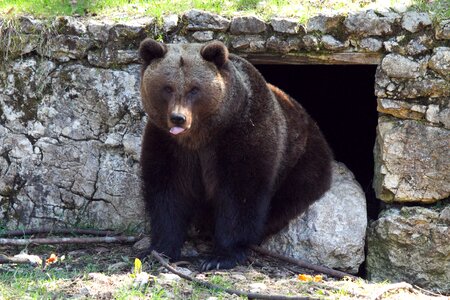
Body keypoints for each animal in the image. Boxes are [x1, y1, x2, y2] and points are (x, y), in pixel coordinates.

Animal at [139, 38, 332, 270]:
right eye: (167, 87)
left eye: (194, 89)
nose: (178, 118)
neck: (201, 136)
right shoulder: (168, 144)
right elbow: (167, 191)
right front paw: (159, 249)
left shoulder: (242, 134)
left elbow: (240, 193)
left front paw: (220, 257)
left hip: (302, 160)